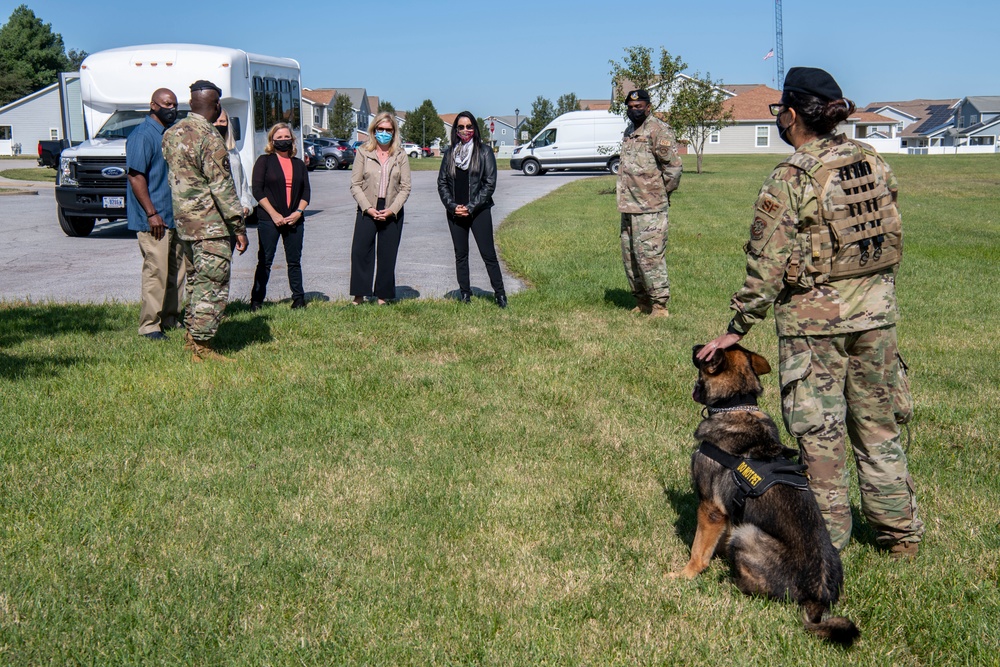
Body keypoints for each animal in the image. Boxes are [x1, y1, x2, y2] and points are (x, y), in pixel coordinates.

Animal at [672, 344, 860, 648]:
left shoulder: (711, 509)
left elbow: (698, 551)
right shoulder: (725, 513)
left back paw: (730, 581)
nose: (694, 347)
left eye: (703, 353)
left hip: (747, 534)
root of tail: (817, 598)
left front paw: (684, 575)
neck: (736, 404)